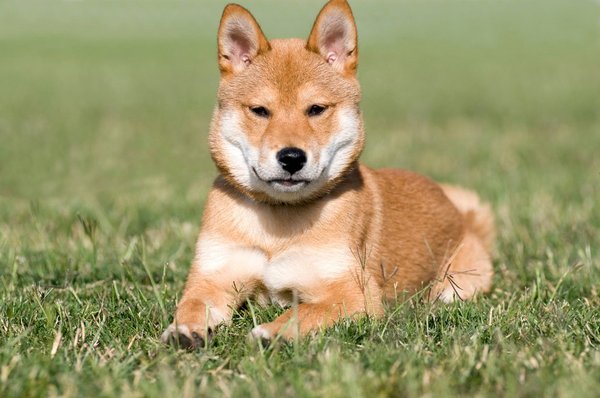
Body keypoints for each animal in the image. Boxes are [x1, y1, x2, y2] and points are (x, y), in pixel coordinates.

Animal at [161, 0, 492, 348]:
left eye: (316, 109)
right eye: (260, 110)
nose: (292, 157)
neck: (278, 225)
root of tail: (463, 215)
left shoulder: (353, 292)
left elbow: (305, 312)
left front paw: (271, 333)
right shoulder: (214, 277)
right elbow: (192, 305)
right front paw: (184, 330)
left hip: (458, 283)